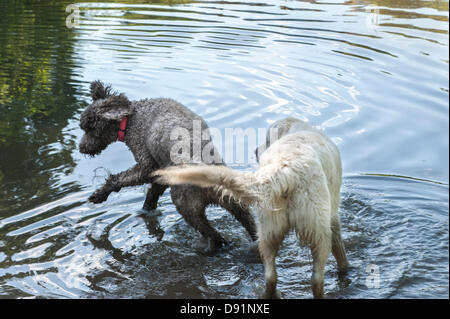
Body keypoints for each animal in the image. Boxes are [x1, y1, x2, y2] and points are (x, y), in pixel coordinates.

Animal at [153, 118, 350, 300]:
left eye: (267, 138)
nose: (255, 151)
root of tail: (286, 170)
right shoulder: (333, 215)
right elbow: (340, 250)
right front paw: (346, 269)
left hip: (268, 230)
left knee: (270, 275)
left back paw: (268, 294)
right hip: (318, 232)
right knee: (316, 278)